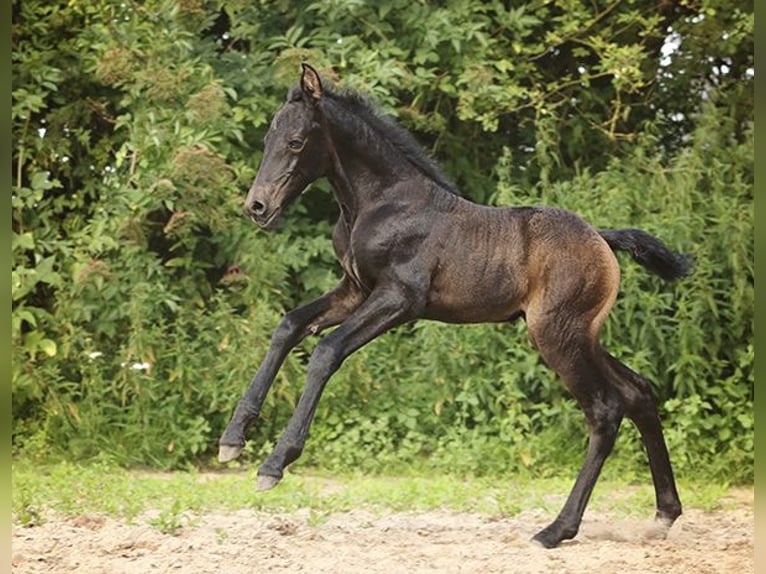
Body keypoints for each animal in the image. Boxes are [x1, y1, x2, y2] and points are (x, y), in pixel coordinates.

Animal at [218, 63, 691, 548]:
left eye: (296, 142)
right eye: (267, 139)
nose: (257, 207)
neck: (379, 203)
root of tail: (602, 239)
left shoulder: (399, 298)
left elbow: (326, 351)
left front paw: (275, 463)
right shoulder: (354, 290)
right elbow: (288, 325)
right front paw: (233, 437)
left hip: (556, 335)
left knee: (605, 410)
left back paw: (556, 529)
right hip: (582, 335)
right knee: (638, 392)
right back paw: (664, 514)